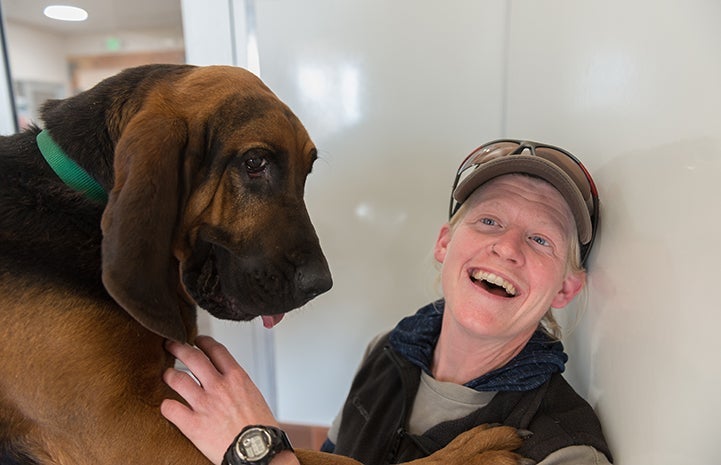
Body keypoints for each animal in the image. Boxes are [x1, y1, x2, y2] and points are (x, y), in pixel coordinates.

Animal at [0, 62, 524, 464]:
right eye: (254, 163)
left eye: (307, 169)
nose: (321, 284)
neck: (81, 191)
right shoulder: (131, 431)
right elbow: (342, 460)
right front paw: (467, 453)